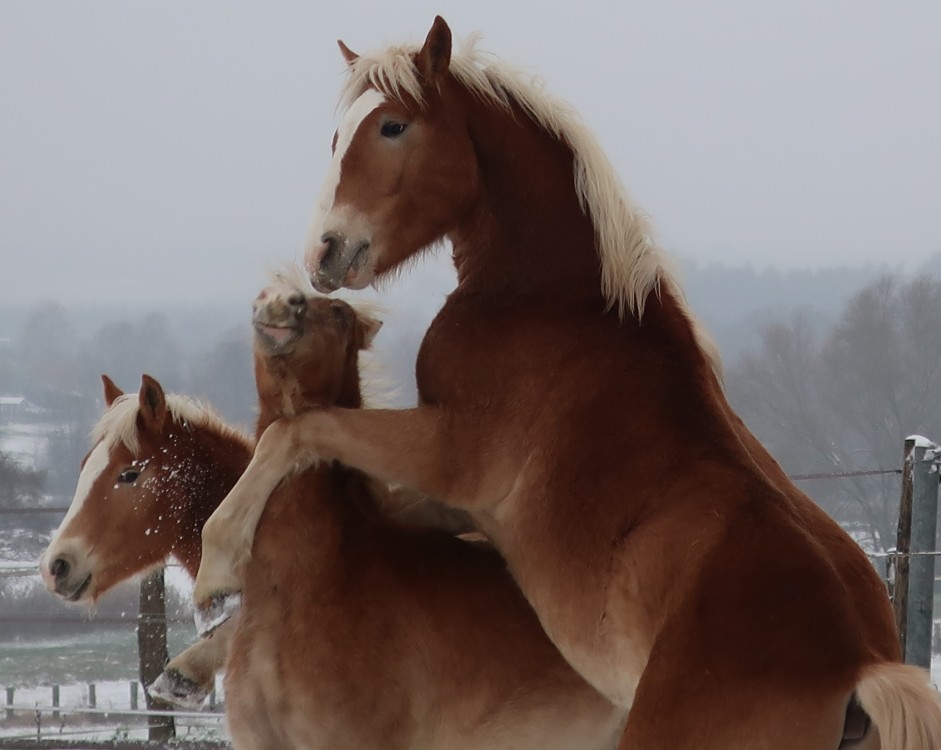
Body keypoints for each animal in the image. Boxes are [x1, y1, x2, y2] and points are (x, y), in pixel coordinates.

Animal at [195, 17, 936, 750]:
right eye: (337, 134)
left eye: (393, 126)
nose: (324, 253)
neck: (545, 301)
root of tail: (861, 665)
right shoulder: (449, 501)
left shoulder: (445, 452)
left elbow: (297, 431)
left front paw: (215, 570)